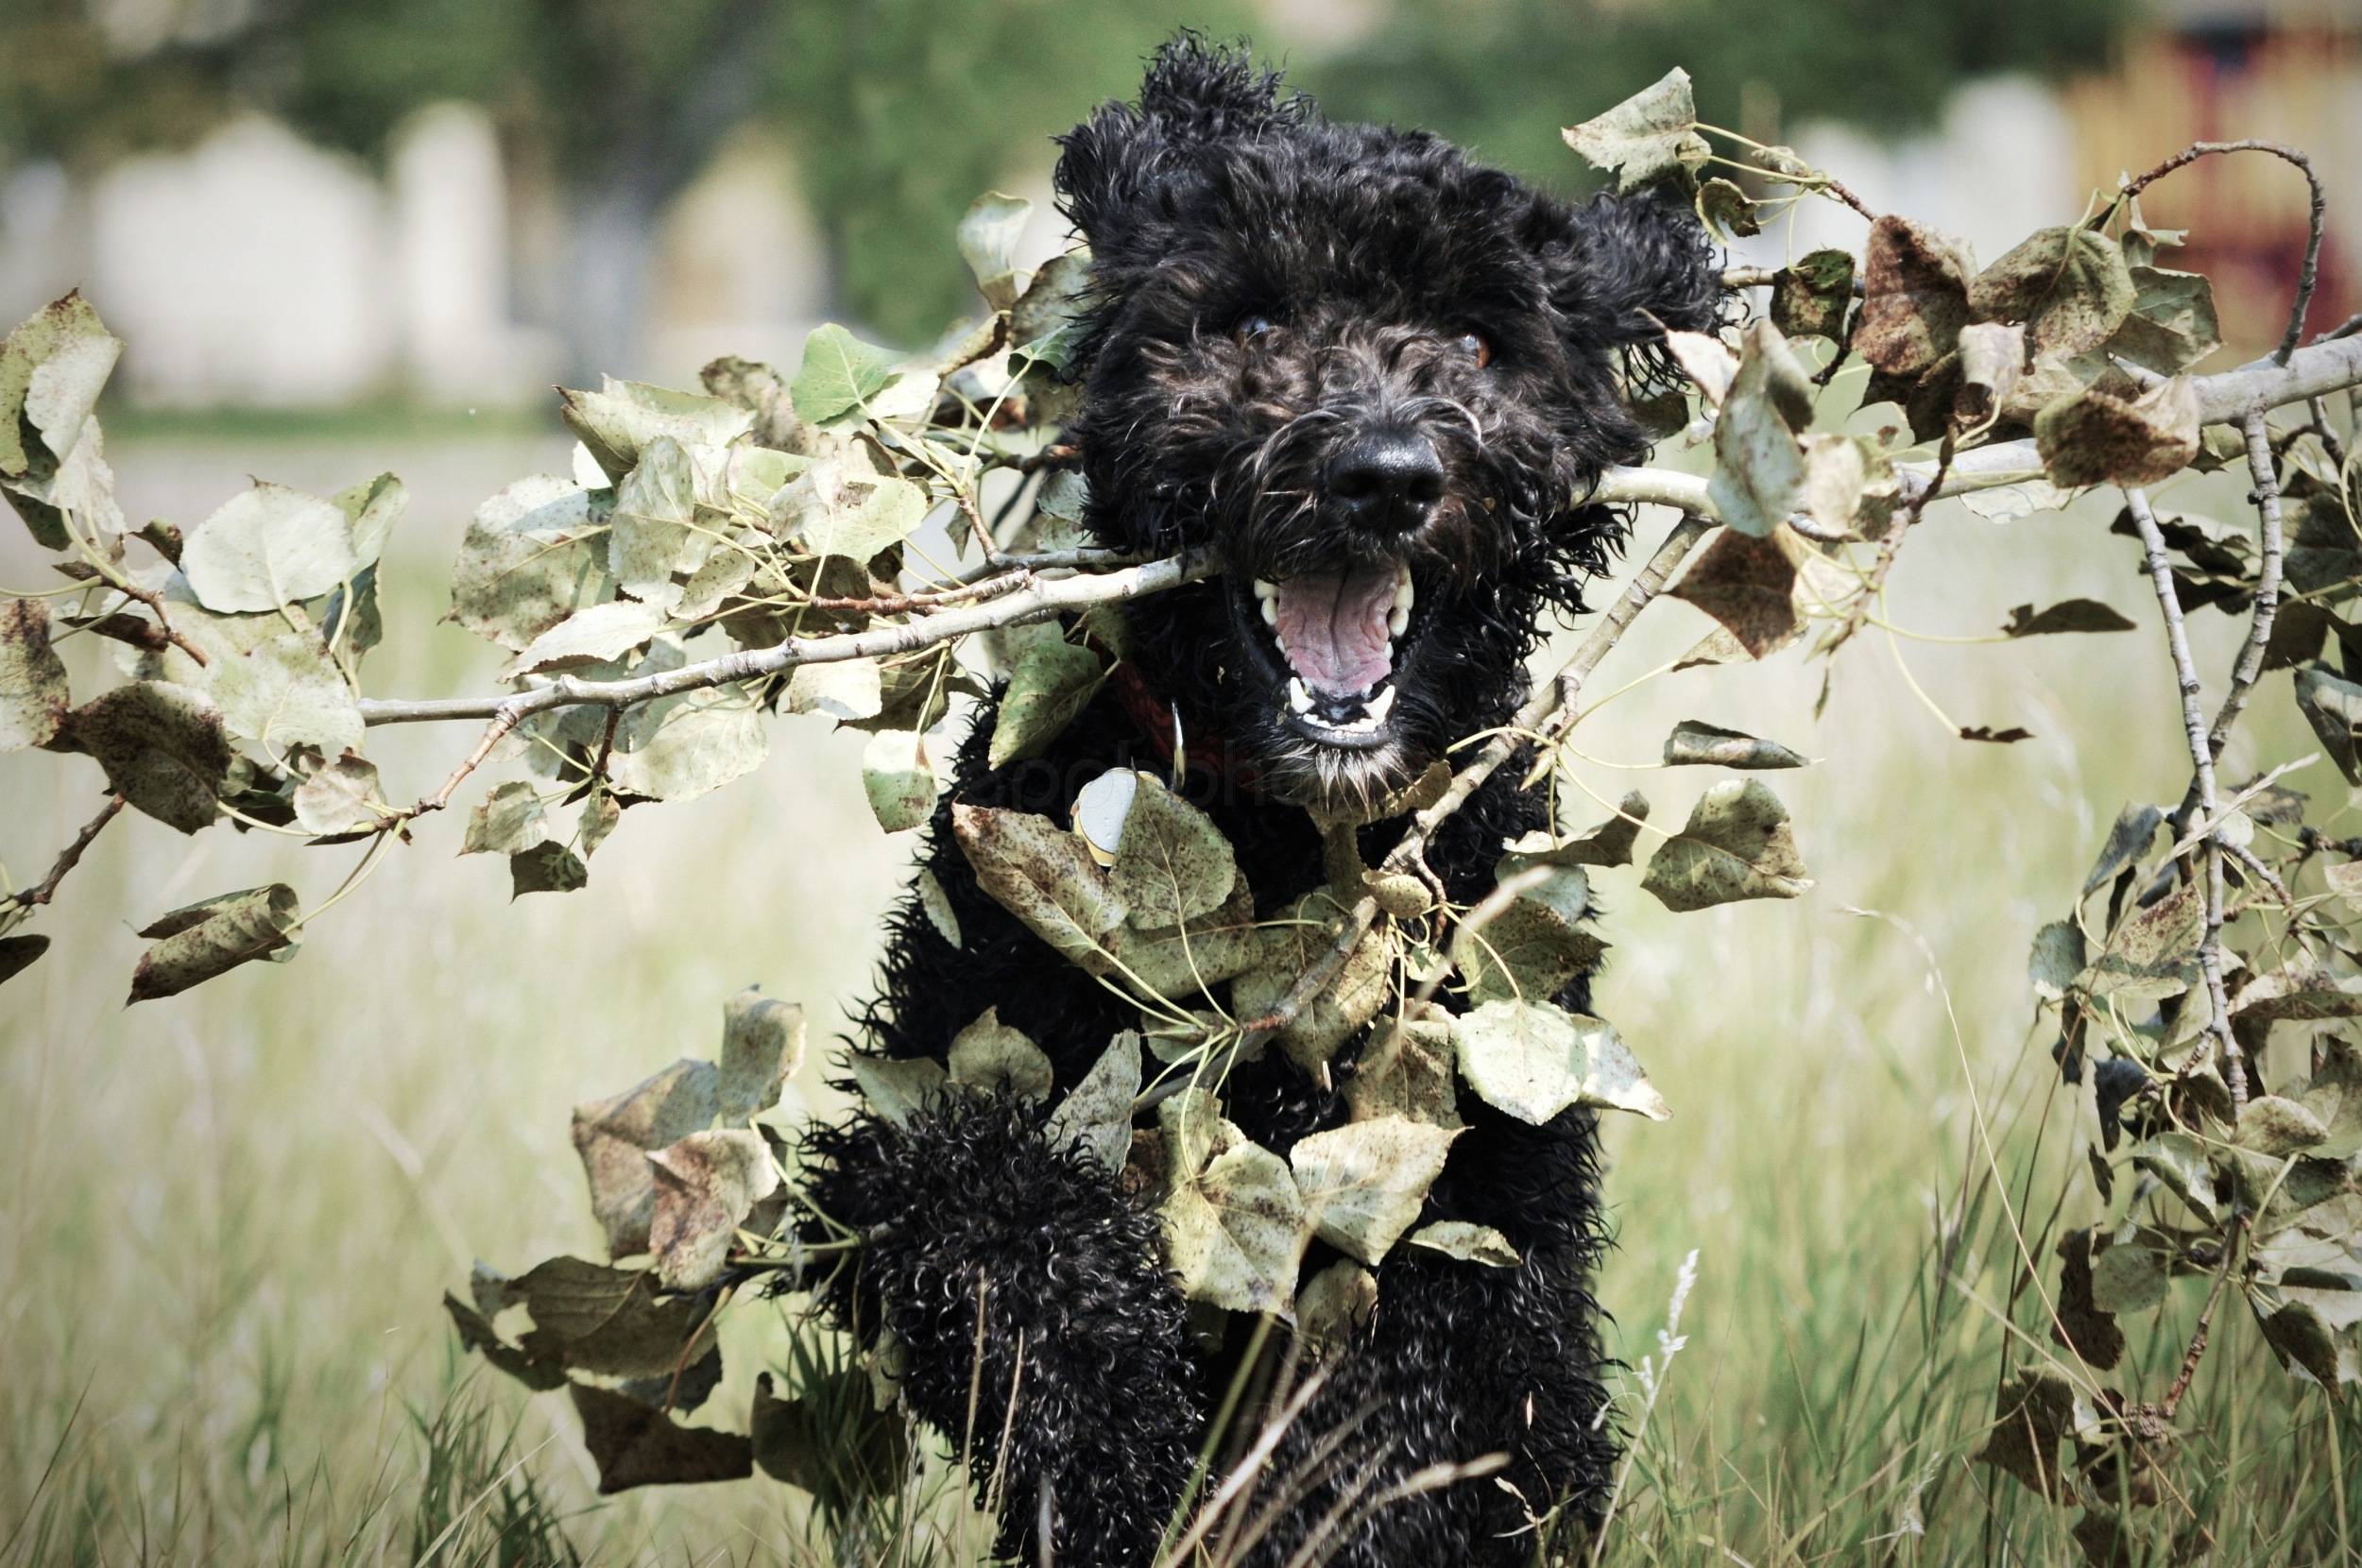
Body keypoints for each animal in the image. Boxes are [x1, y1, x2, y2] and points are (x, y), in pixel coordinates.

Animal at [808, 36, 1720, 1568]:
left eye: (1480, 345)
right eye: (1245, 322)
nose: (1385, 474)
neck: (1290, 847)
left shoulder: (1480, 1200)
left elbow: (1422, 1403)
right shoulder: (915, 1102)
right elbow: (992, 1218)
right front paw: (1112, 1442)